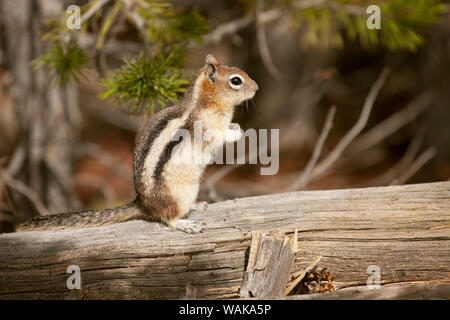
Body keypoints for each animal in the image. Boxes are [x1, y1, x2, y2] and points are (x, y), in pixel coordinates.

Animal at [16, 54, 256, 232]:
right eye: (236, 80)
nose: (257, 88)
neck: (205, 101)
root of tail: (142, 204)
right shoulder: (206, 127)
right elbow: (218, 137)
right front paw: (237, 132)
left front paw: (236, 127)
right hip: (180, 193)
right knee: (167, 217)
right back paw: (185, 223)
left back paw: (197, 205)